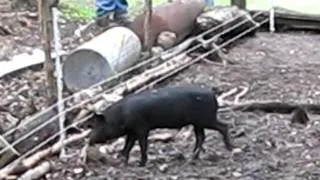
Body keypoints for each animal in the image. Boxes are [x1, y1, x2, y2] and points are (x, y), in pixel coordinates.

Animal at [87, 85, 232, 167]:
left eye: (99, 126)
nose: (89, 140)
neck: (120, 116)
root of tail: (213, 95)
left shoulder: (141, 128)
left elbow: (142, 144)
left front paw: (141, 164)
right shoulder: (132, 131)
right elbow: (128, 144)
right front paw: (122, 159)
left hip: (206, 119)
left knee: (223, 126)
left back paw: (229, 149)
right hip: (197, 123)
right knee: (201, 136)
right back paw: (192, 157)